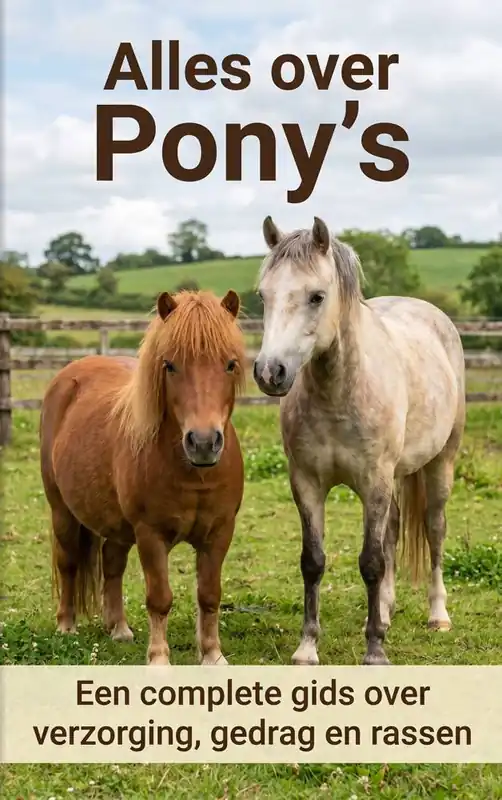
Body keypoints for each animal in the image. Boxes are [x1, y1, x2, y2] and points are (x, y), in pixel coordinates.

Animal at [39, 289, 246, 666]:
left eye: (230, 363)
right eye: (170, 365)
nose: (203, 443)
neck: (192, 474)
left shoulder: (220, 532)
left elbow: (209, 595)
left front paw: (212, 655)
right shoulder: (151, 535)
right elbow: (159, 598)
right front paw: (159, 659)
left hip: (117, 525)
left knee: (112, 563)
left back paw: (118, 628)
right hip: (62, 511)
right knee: (68, 561)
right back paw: (66, 626)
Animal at [253, 216, 465, 667]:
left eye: (317, 296)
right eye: (263, 295)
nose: (269, 372)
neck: (339, 391)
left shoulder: (374, 482)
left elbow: (370, 562)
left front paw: (375, 653)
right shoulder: (307, 484)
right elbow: (314, 562)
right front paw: (307, 648)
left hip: (440, 464)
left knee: (434, 530)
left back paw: (438, 615)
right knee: (394, 533)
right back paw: (384, 609)